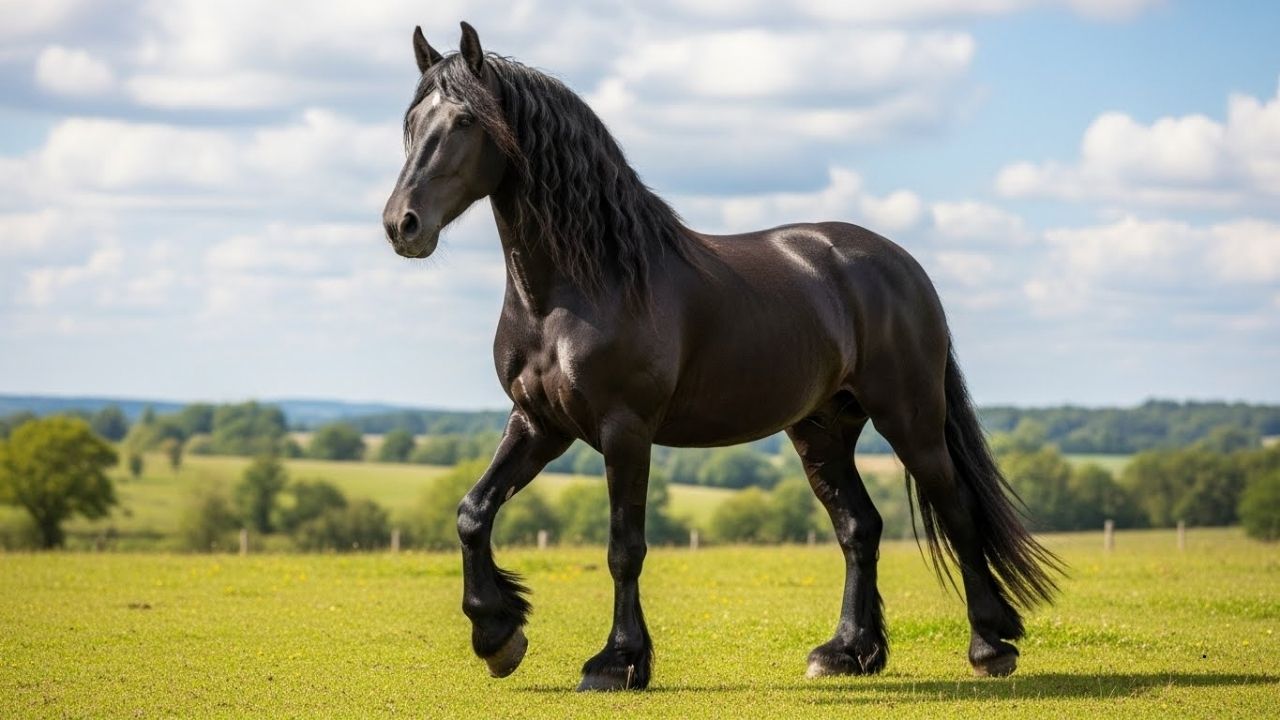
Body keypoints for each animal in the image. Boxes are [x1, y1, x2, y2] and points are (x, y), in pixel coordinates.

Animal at [382, 22, 1062, 692]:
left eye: (465, 120)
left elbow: (624, 546)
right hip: (821, 429)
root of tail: (904, 266)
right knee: (859, 527)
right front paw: (498, 635)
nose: (401, 226)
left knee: (957, 510)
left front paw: (617, 662)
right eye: (412, 121)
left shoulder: (624, 429)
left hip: (910, 418)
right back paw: (846, 652)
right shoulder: (539, 423)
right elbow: (473, 512)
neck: (580, 287)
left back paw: (989, 646)